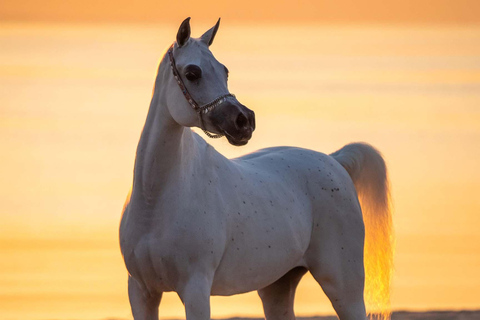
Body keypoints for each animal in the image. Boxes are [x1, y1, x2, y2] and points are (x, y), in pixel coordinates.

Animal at [118, 18, 392, 320]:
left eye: (224, 70)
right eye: (192, 73)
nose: (244, 121)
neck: (156, 199)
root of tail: (334, 160)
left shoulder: (195, 289)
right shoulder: (142, 292)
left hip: (344, 285)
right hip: (277, 286)